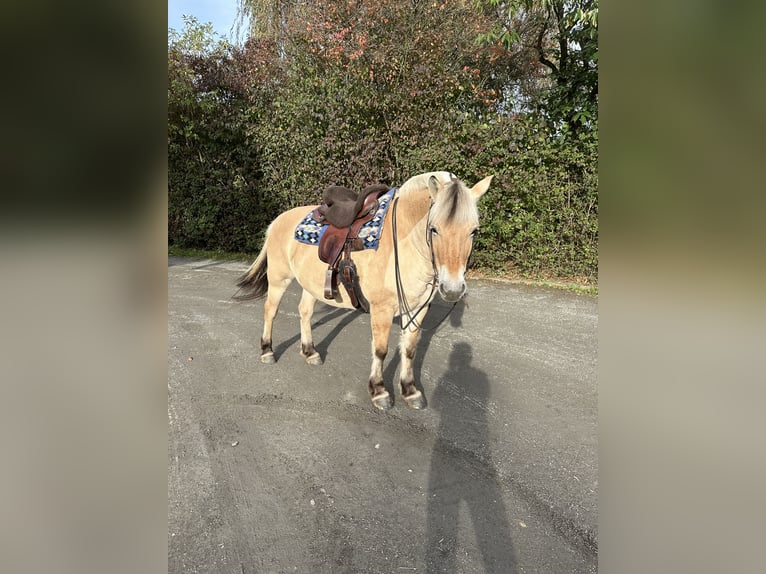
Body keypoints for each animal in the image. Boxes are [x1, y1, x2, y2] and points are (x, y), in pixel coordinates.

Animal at [232, 171, 492, 410]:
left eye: (474, 231)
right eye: (434, 229)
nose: (452, 289)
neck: (403, 242)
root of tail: (277, 220)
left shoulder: (418, 307)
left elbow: (409, 349)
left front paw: (410, 391)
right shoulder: (381, 309)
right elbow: (381, 350)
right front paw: (379, 392)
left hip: (310, 284)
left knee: (304, 311)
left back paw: (310, 352)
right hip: (279, 278)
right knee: (270, 311)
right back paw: (267, 351)